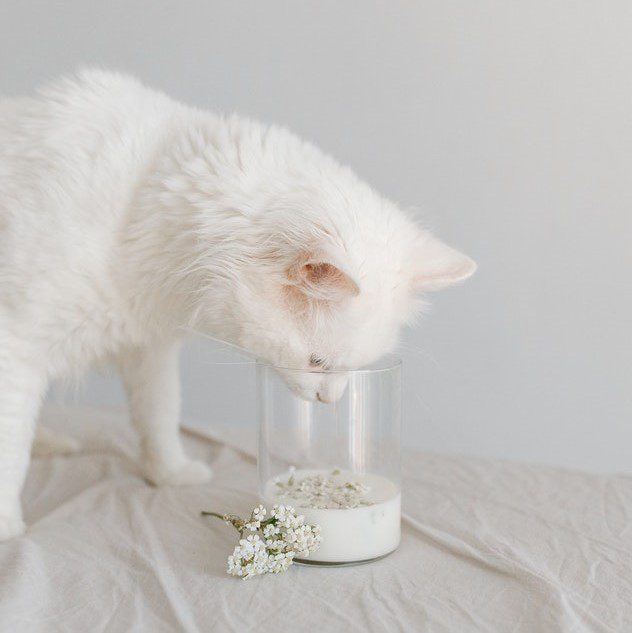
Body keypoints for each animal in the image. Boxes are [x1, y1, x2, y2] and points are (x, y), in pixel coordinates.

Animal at [0, 70, 474, 540]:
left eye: (355, 369)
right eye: (317, 363)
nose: (330, 402)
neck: (141, 200)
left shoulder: (149, 350)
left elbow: (159, 413)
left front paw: (169, 473)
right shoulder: (17, 349)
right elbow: (11, 449)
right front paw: (7, 527)